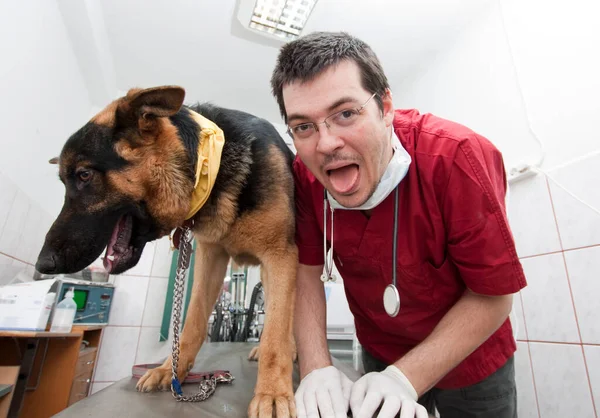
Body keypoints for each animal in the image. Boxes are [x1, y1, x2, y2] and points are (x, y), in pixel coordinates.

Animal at [35, 85, 298, 418]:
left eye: (83, 175)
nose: (42, 263)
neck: (209, 162)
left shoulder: (279, 257)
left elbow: (275, 335)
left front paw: (273, 393)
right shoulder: (211, 260)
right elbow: (193, 321)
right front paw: (171, 371)